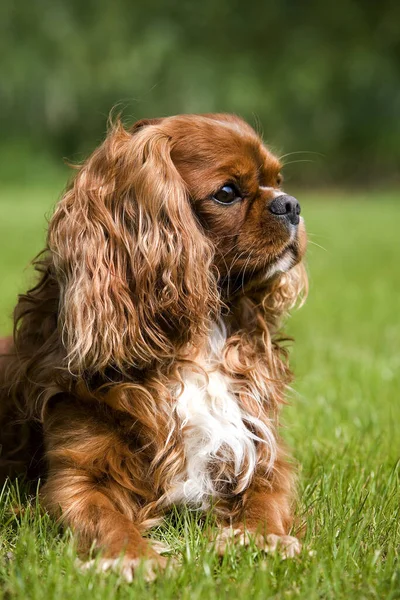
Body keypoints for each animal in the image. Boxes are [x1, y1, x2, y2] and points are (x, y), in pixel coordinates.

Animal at [0, 113, 308, 580]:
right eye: (227, 193)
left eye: (278, 180)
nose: (289, 204)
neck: (198, 339)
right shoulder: (75, 479)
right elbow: (105, 517)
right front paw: (134, 558)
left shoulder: (260, 452)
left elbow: (264, 502)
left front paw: (259, 540)